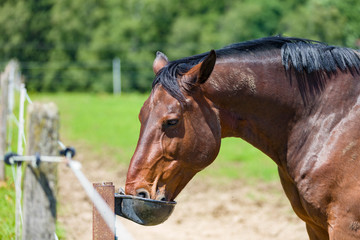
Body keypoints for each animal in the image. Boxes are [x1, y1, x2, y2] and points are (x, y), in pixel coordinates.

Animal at [125, 36, 360, 240]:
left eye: (172, 121)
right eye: (141, 116)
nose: (136, 191)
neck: (331, 119)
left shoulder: (345, 226)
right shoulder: (314, 226)